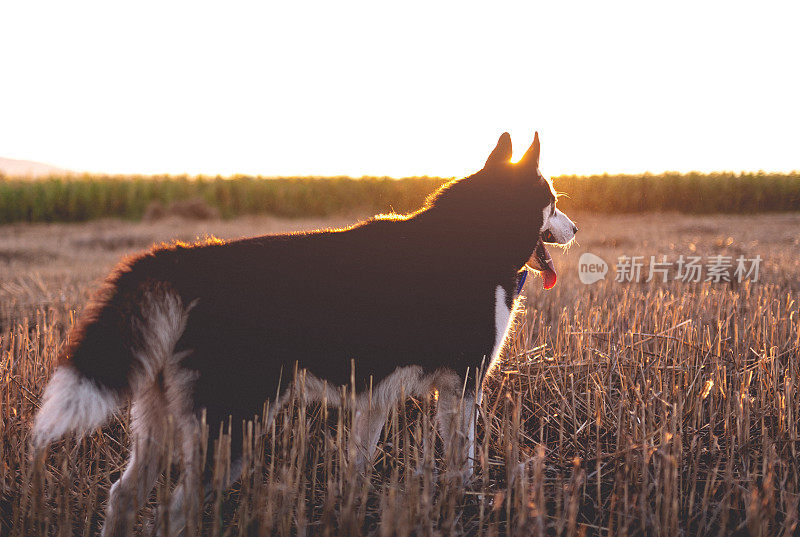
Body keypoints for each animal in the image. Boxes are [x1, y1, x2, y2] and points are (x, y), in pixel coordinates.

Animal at [32, 132, 576, 532]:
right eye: (551, 201)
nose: (574, 230)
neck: (477, 232)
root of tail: (187, 259)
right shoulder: (462, 384)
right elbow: (460, 461)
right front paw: (460, 503)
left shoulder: (376, 395)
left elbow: (358, 466)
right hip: (230, 425)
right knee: (171, 512)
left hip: (162, 422)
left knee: (123, 496)